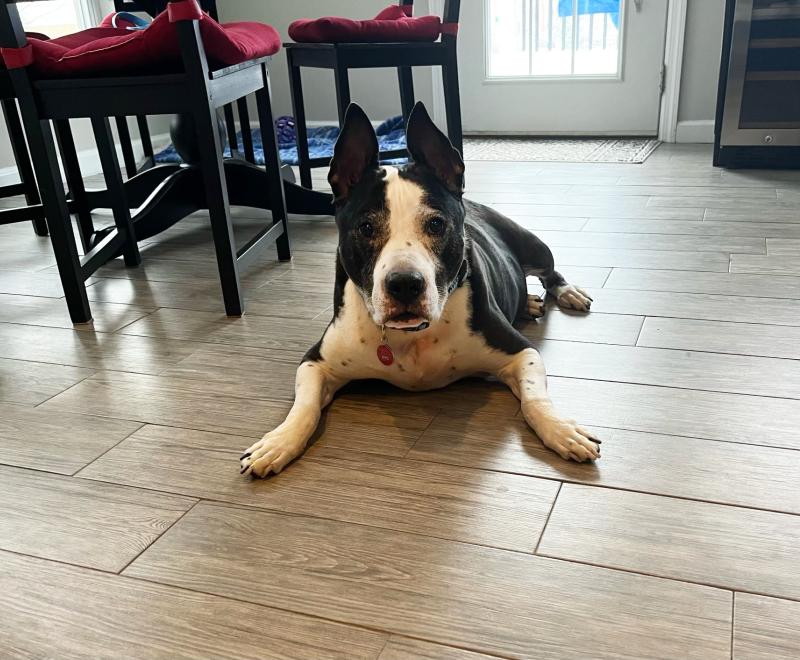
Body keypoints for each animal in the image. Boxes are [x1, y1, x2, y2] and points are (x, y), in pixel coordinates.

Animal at [241, 102, 604, 474]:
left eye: (436, 224)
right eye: (366, 227)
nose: (404, 284)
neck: (411, 336)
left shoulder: (521, 352)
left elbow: (535, 399)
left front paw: (560, 429)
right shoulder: (317, 362)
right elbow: (304, 406)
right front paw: (279, 441)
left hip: (532, 246)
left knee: (551, 271)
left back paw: (567, 292)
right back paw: (530, 302)